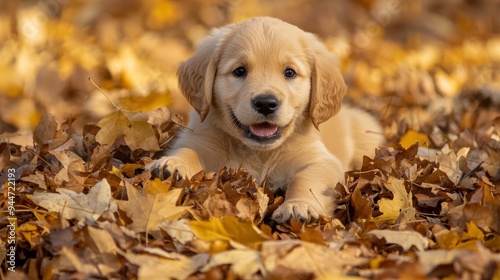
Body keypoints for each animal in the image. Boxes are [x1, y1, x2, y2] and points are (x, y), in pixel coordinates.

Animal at [147, 17, 382, 223]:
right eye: (239, 71)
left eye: (290, 73)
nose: (266, 103)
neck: (257, 152)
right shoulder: (200, 139)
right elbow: (189, 151)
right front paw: (172, 164)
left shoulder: (321, 160)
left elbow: (306, 178)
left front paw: (298, 206)